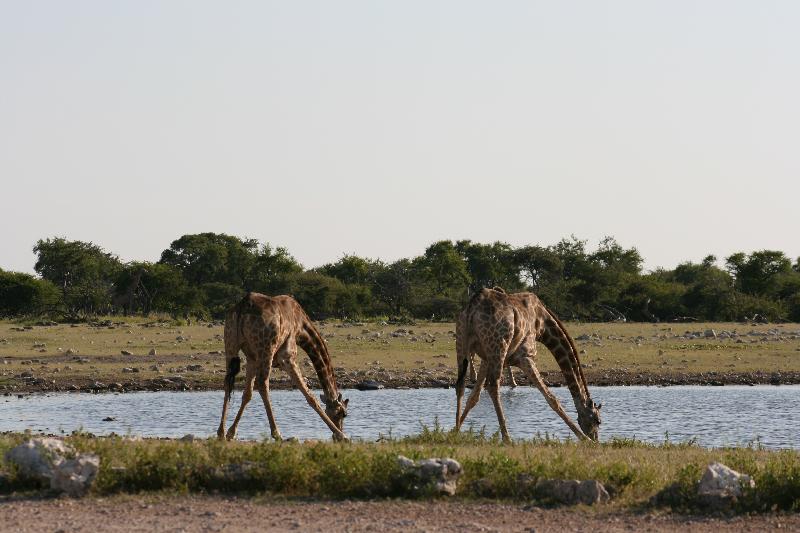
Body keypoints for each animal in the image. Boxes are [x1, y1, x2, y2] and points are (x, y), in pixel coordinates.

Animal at [217, 290, 348, 440]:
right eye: (343, 413)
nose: (339, 430)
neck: (301, 327)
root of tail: (242, 306)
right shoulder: (288, 358)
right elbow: (310, 396)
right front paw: (341, 435)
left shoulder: (252, 359)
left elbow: (247, 394)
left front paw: (231, 432)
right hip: (266, 348)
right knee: (263, 384)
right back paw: (277, 433)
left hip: (230, 343)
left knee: (228, 382)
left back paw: (220, 432)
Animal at [456, 286, 600, 440]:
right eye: (597, 420)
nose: (595, 438)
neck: (542, 324)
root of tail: (472, 307)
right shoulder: (526, 356)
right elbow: (552, 398)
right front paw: (584, 439)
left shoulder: (485, 358)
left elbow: (474, 397)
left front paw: (455, 430)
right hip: (498, 346)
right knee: (493, 386)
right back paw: (507, 438)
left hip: (462, 342)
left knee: (460, 385)